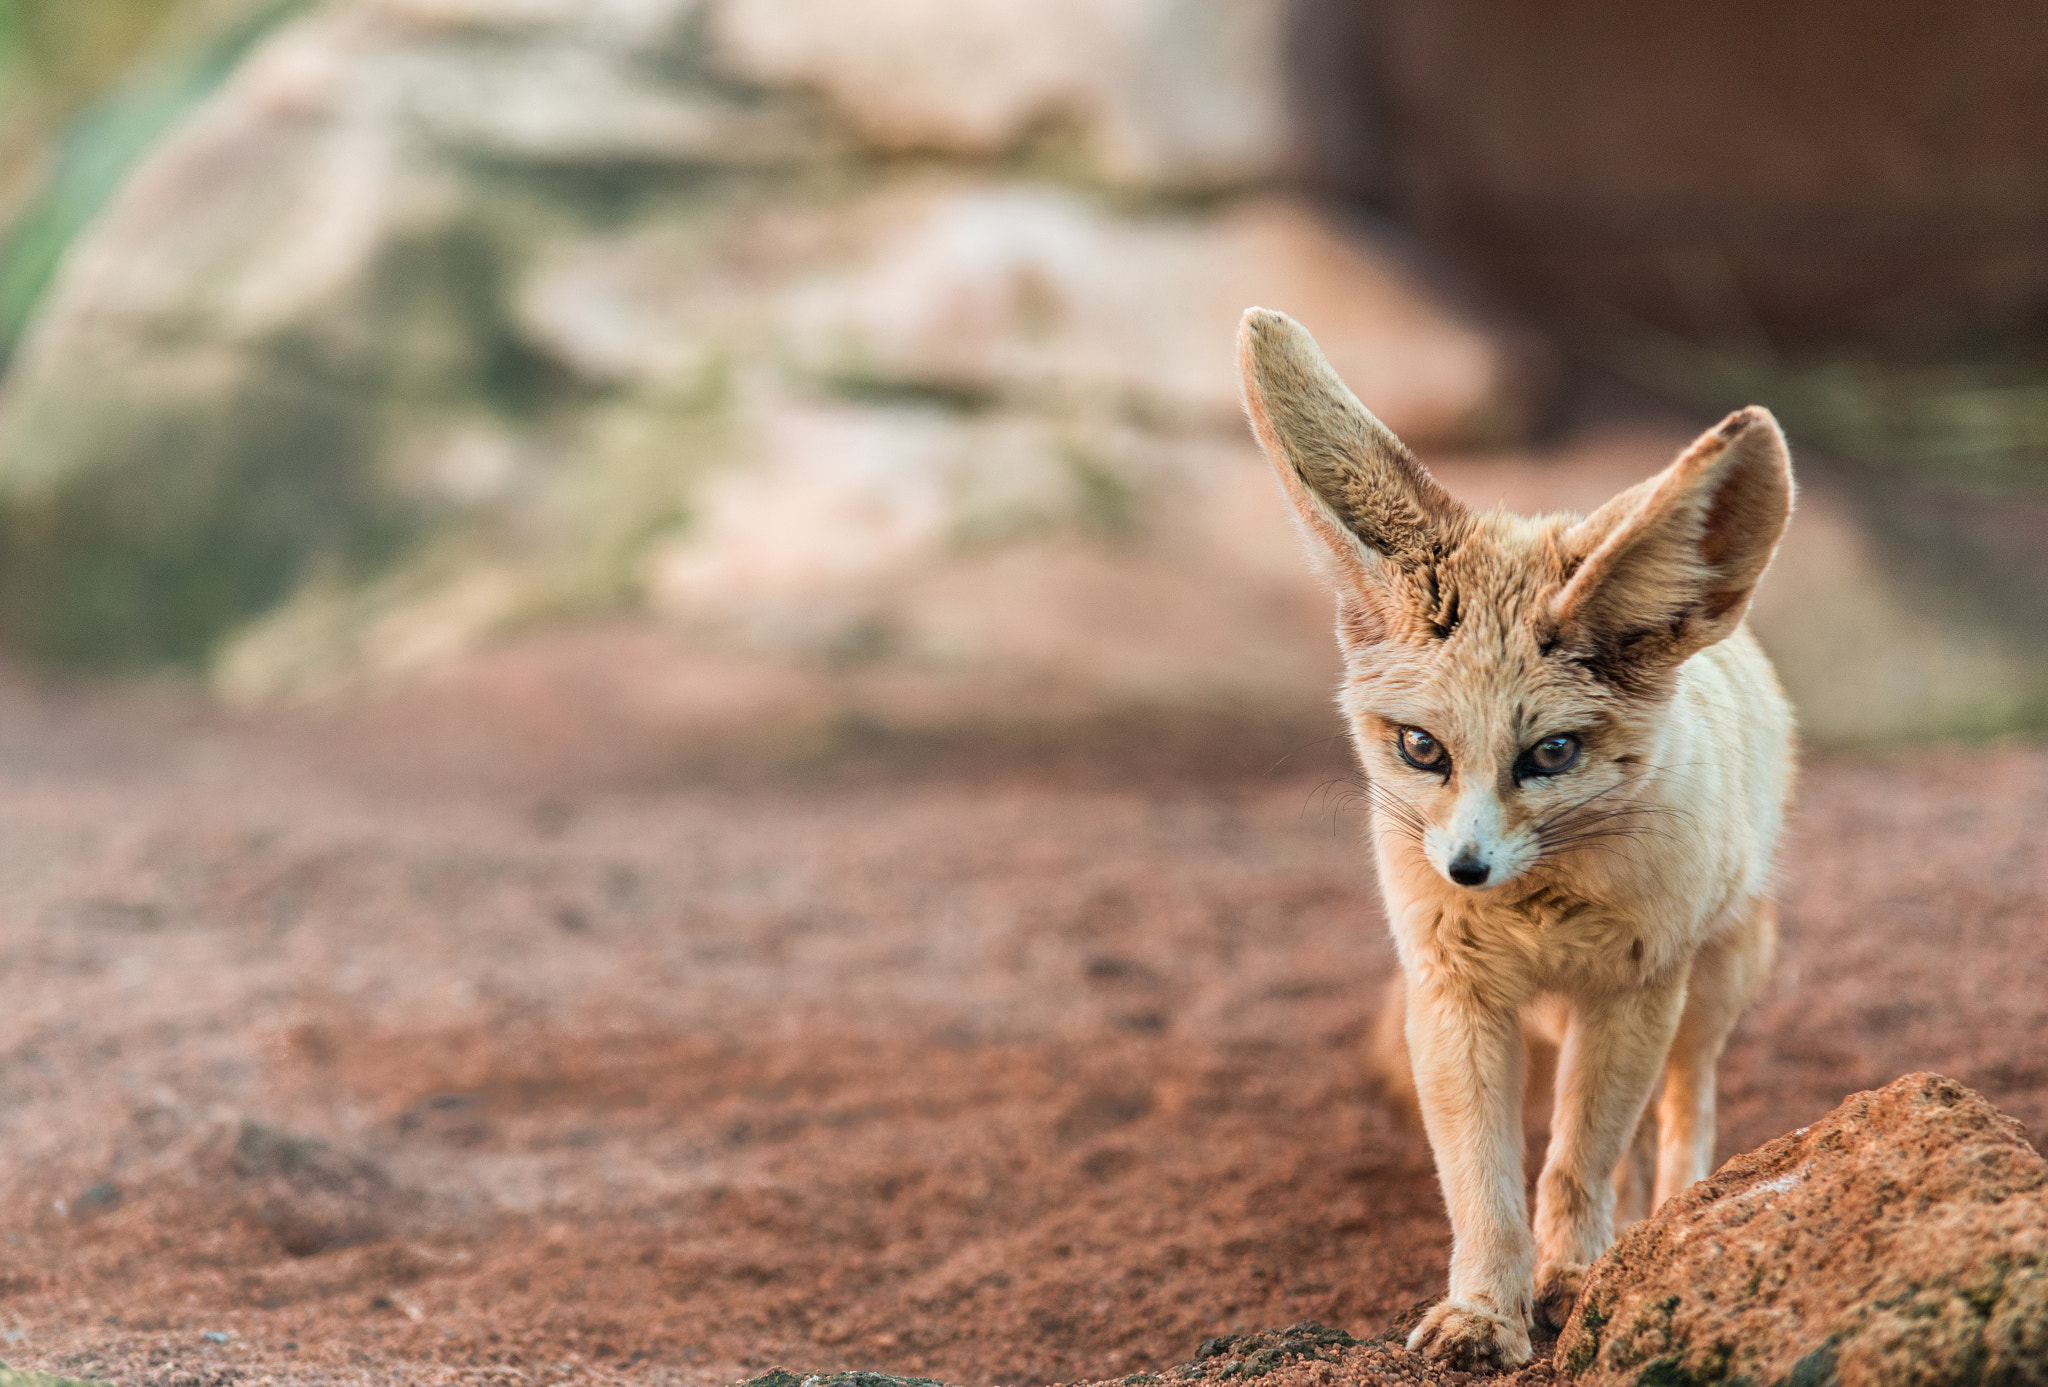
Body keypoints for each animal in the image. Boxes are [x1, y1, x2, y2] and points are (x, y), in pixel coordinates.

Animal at [1228, 311, 1794, 1360]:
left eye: (1551, 751)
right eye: (1423, 747)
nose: (1466, 868)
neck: (1538, 916)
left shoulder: (1632, 988)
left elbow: (1578, 1159)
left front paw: (1574, 1277)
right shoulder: (1455, 993)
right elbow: (1483, 1182)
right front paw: (1487, 1310)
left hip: (1712, 982)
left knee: (1685, 1104)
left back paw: (1680, 1209)